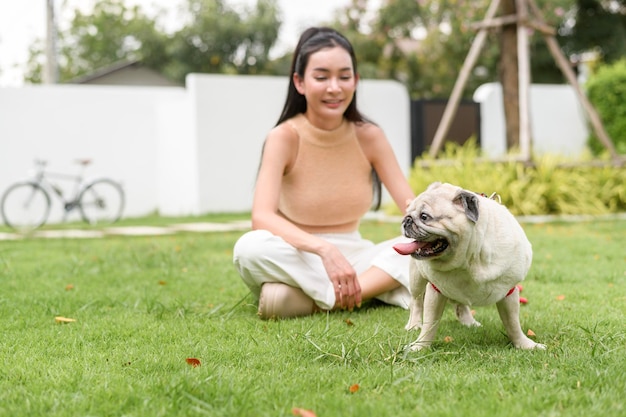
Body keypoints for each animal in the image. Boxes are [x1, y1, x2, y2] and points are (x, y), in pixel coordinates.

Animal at [394, 180, 540, 350]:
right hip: (416, 279)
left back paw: (469, 322)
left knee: (460, 303)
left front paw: (523, 344)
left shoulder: (508, 291)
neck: (469, 260)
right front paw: (420, 347)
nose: (406, 220)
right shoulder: (435, 291)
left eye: (424, 217)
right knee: (416, 302)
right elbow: (429, 324)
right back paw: (414, 324)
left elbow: (513, 323)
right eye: (408, 214)